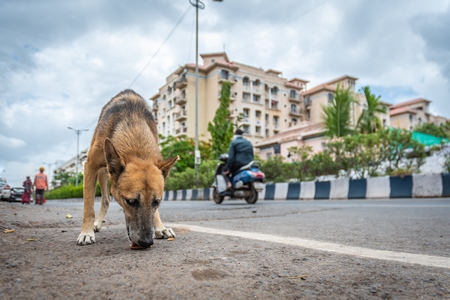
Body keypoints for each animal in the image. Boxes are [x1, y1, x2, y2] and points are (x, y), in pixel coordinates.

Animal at [76, 89, 178, 248]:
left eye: (157, 202)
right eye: (131, 202)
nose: (147, 242)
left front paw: (160, 227)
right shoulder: (90, 166)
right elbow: (88, 206)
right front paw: (86, 232)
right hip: (102, 172)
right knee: (105, 199)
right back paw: (96, 224)